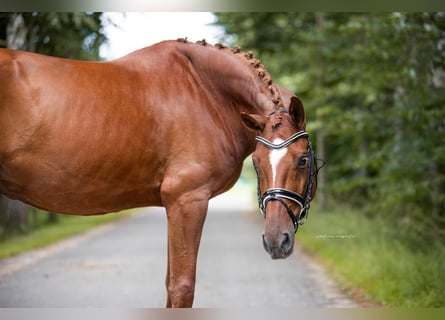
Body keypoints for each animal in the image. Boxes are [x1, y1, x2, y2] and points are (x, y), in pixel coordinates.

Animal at [0, 40, 320, 308]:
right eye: (256, 162)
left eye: (303, 160)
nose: (277, 241)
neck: (206, 90)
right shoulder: (187, 200)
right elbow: (182, 288)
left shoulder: (173, 205)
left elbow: (170, 285)